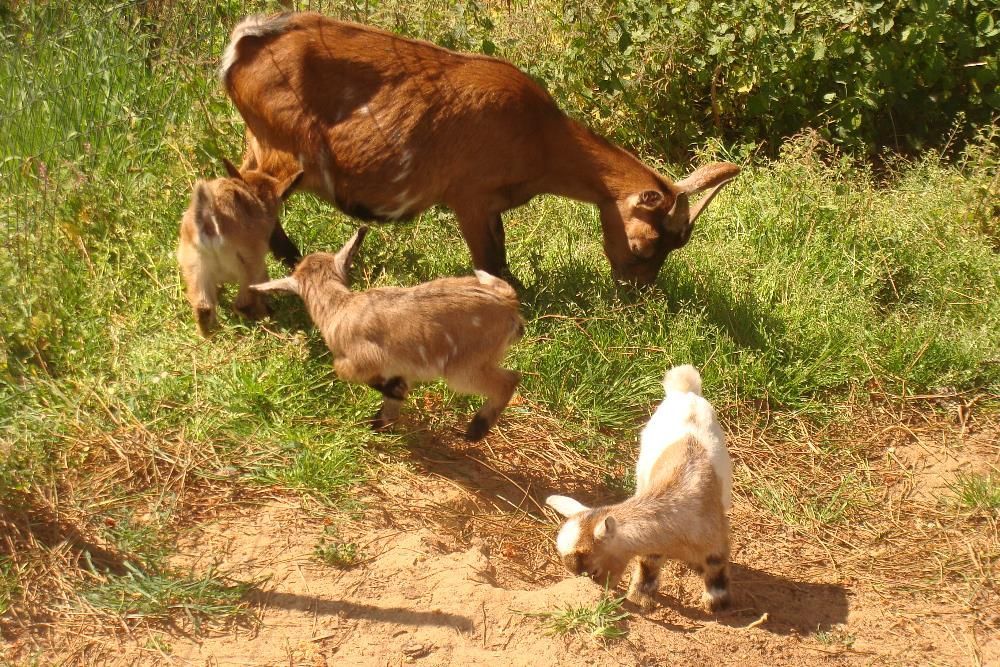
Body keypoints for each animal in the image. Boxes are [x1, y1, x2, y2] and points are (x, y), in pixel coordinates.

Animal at [177, 158, 302, 335]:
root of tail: (210, 221)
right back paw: (267, 316)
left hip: (195, 268)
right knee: (244, 304)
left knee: (203, 309)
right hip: (249, 267)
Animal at [218, 12, 740, 286]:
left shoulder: (491, 204)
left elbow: (502, 256)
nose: (637, 292)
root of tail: (242, 46)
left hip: (255, 143)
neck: (542, 136)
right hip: (284, 152)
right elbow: (490, 264)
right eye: (642, 244)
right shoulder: (466, 195)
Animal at [251, 226, 524, 440]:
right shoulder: (401, 367)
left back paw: (475, 431)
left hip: (463, 368)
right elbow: (392, 400)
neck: (339, 306)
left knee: (510, 379)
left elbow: (356, 376)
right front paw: (380, 424)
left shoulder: (359, 361)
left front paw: (388, 404)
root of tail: (507, 303)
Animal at [546, 364, 733, 611]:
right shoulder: (655, 542)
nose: (604, 589)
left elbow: (716, 563)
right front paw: (640, 597)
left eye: (593, 570)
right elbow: (648, 562)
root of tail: (685, 393)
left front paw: (717, 602)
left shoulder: (715, 535)